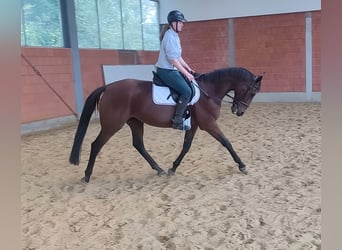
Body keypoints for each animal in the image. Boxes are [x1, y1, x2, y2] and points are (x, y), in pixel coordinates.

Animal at [69, 67, 262, 183]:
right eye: (252, 92)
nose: (239, 111)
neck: (208, 92)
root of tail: (108, 87)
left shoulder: (194, 125)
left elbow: (186, 147)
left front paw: (172, 168)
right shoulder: (209, 124)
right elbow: (226, 142)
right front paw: (242, 165)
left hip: (135, 122)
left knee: (138, 144)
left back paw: (159, 169)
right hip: (112, 125)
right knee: (96, 145)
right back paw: (87, 175)